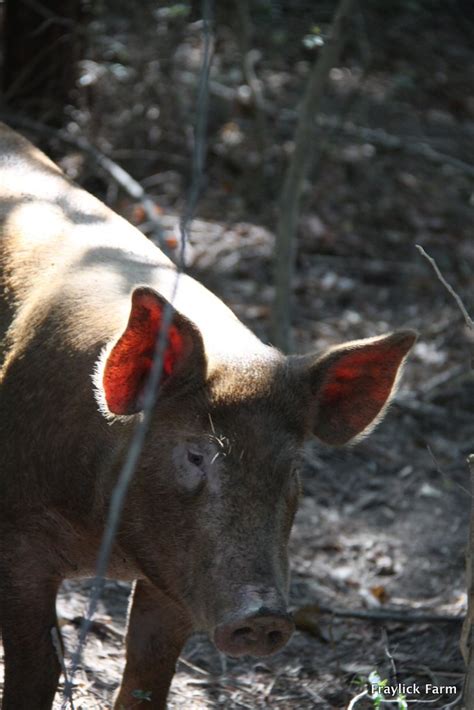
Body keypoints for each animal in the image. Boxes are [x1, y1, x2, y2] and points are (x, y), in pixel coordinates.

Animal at [0, 125, 414, 708]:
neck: (105, 542)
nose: (264, 616)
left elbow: (149, 674)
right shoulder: (18, 535)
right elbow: (37, 666)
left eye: (292, 468)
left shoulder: (177, 577)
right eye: (196, 454)